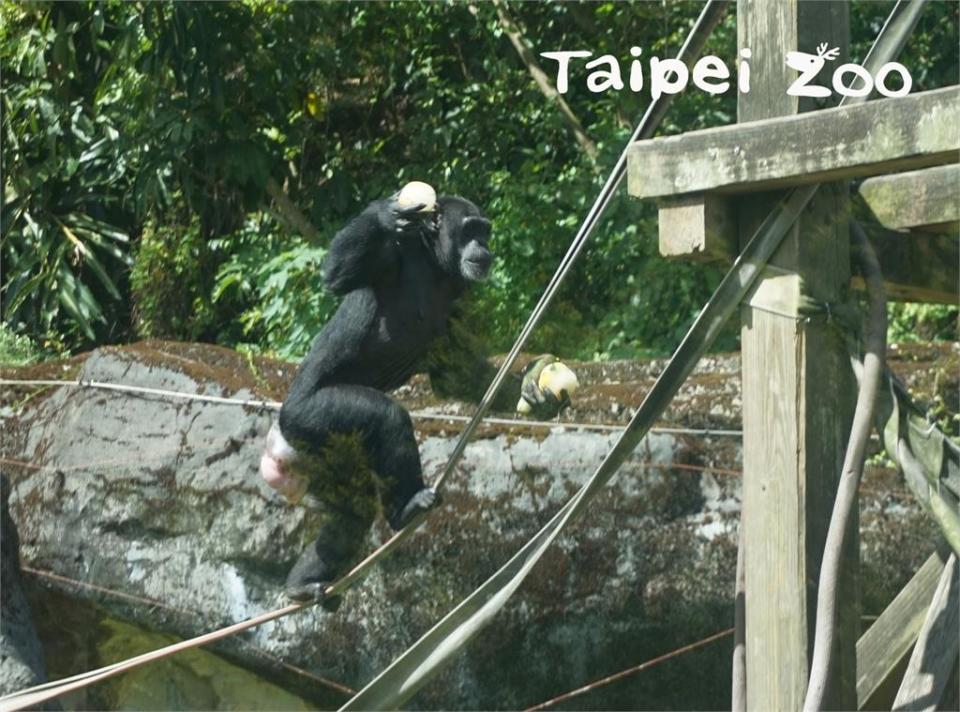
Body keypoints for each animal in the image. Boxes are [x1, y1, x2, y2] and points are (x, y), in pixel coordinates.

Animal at [258, 185, 568, 608]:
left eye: (484, 230)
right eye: (470, 229)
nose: (484, 246)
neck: (436, 266)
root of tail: (278, 443)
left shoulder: (459, 303)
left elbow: (460, 372)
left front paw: (534, 394)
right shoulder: (391, 258)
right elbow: (338, 276)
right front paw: (385, 213)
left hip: (324, 457)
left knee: (351, 514)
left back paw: (302, 584)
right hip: (310, 417)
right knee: (387, 418)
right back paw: (406, 509)